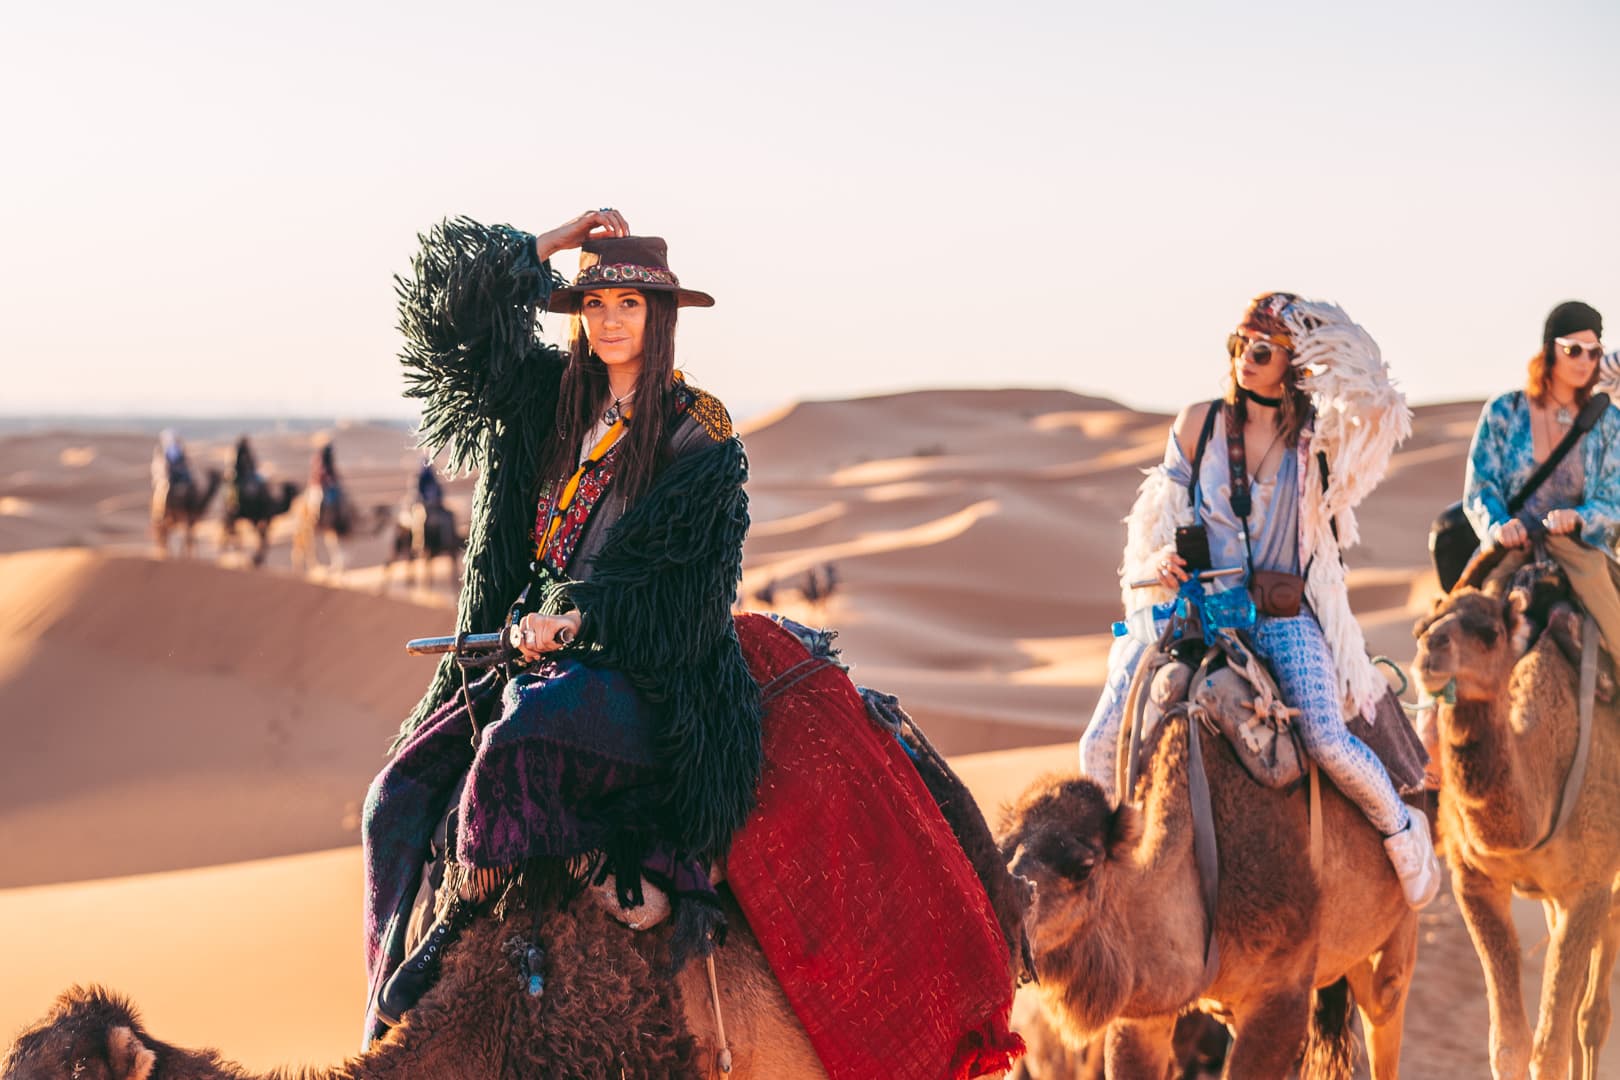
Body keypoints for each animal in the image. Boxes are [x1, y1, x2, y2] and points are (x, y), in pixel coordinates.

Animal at [1412, 592, 1620, 1080]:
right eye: (1423, 625)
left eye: (1490, 634)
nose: (1431, 649)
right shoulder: (1475, 881)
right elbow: (1508, 1045)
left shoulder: (1591, 884)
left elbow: (1552, 1048)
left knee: (1592, 1014)